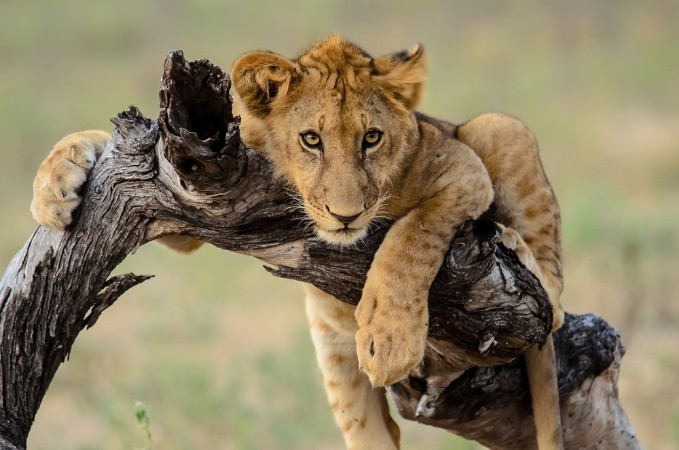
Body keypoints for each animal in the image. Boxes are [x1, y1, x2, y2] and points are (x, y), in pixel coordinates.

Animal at [30, 35, 565, 449]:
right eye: (311, 139)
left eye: (372, 138)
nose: (346, 215)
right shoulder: (195, 185)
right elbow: (109, 145)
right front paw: (54, 186)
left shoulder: (464, 172)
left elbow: (411, 236)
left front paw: (389, 338)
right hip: (337, 364)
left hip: (498, 128)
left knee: (553, 303)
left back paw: (515, 247)